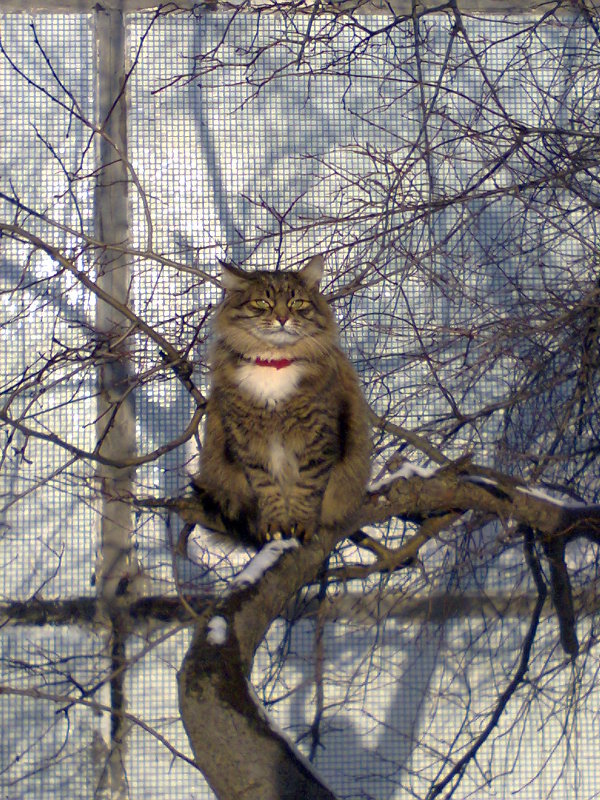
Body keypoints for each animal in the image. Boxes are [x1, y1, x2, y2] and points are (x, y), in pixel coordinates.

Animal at [191, 253, 370, 548]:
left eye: (297, 303)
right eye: (263, 303)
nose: (283, 318)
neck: (274, 363)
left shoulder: (317, 439)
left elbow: (307, 490)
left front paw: (301, 528)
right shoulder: (249, 444)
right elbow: (268, 490)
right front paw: (275, 528)